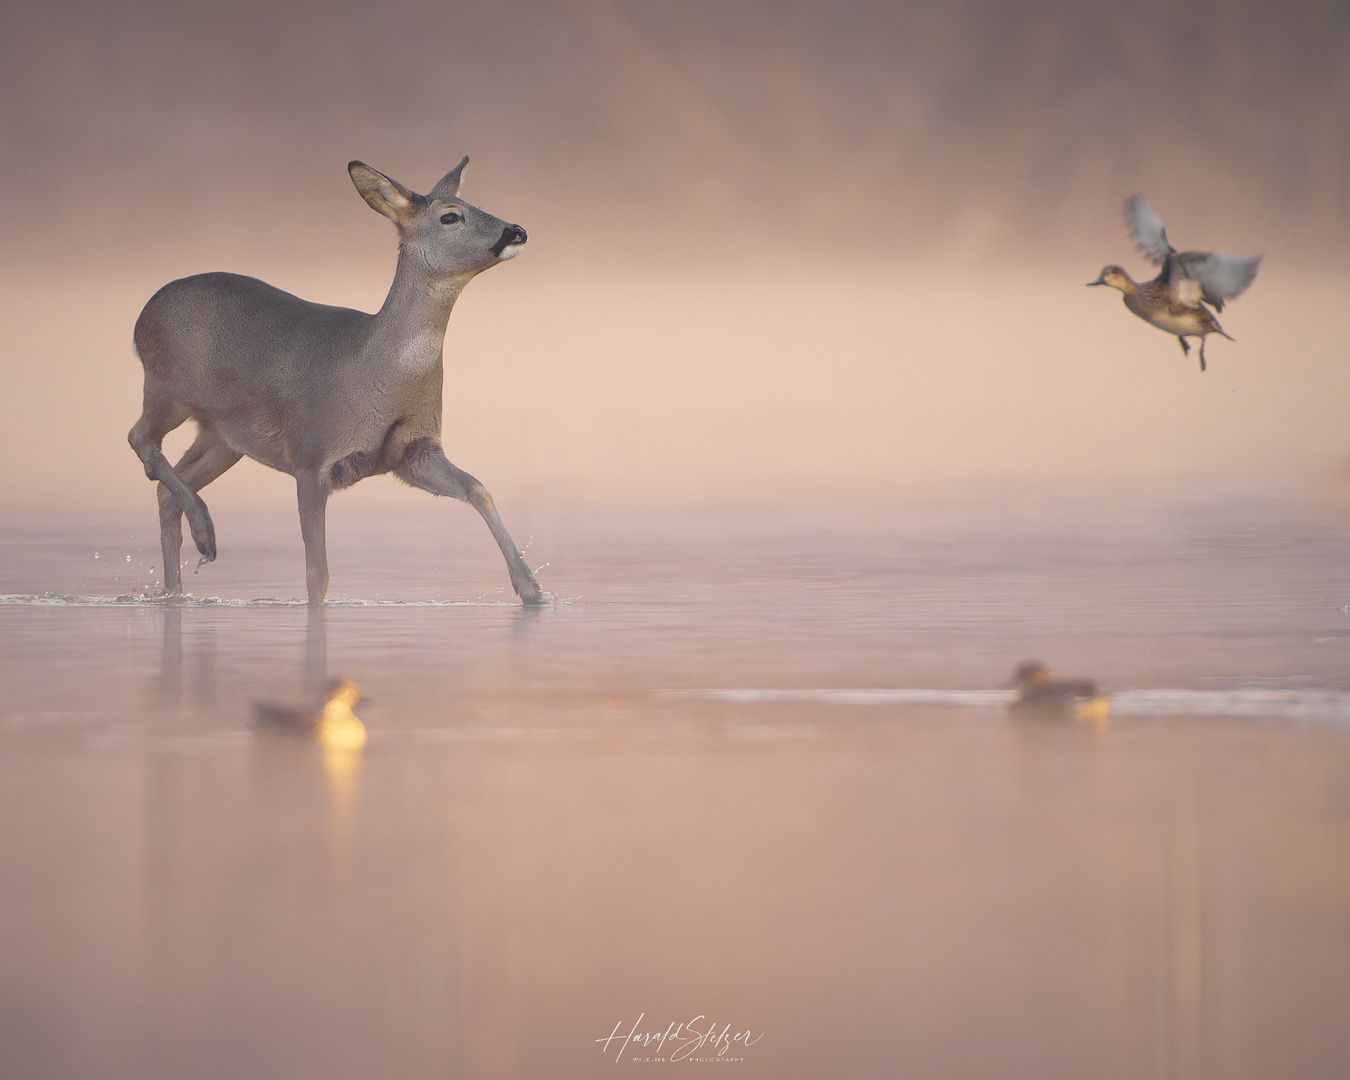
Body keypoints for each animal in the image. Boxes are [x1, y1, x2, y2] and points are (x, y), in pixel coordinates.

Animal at [127, 155, 542, 602]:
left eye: (476, 203)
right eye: (450, 216)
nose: (516, 231)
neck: (376, 372)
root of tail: (141, 318)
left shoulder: (413, 451)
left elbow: (477, 488)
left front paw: (531, 587)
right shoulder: (311, 457)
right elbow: (317, 572)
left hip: (223, 436)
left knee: (166, 488)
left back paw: (180, 583)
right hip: (167, 389)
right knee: (140, 439)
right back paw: (205, 533)